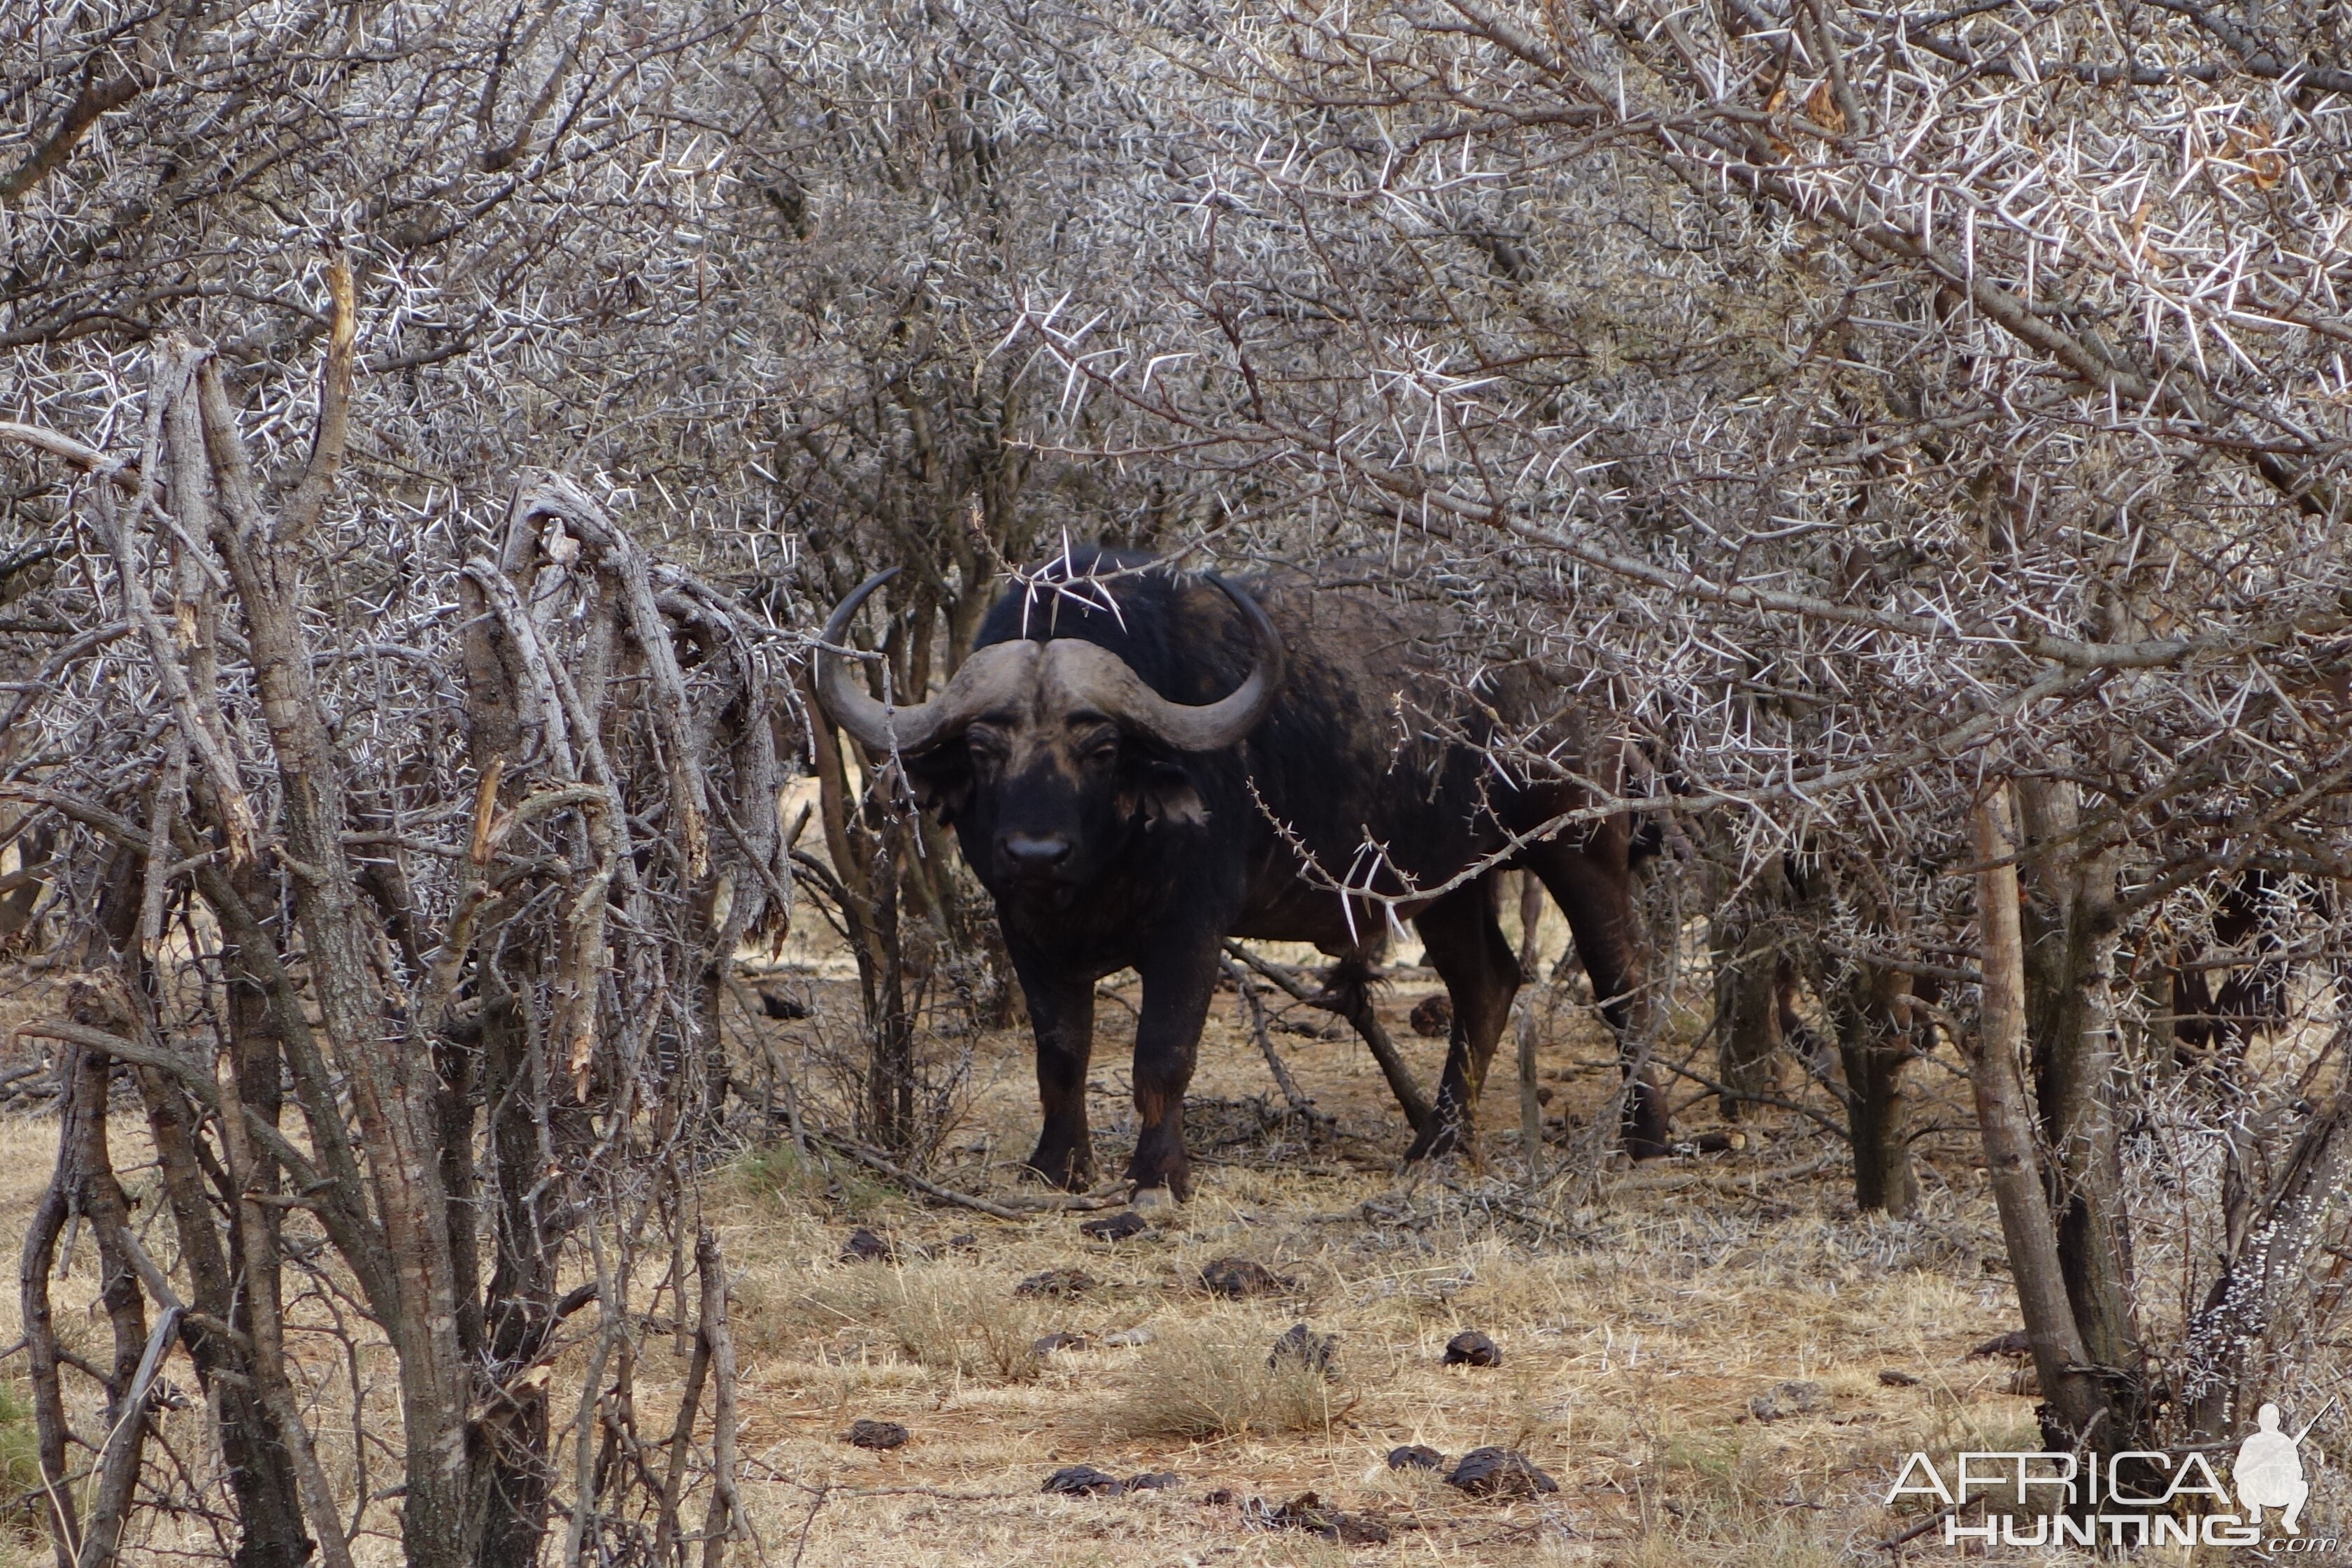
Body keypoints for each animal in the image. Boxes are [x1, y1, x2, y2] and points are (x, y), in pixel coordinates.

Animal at [818, 545, 1665, 1194]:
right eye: (982, 748)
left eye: (1101, 748)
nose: (1034, 852)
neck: (1100, 861)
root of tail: (1599, 666)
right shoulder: (1025, 929)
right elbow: (1059, 1055)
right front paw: (1056, 1168)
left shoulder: (1190, 929)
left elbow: (1162, 1055)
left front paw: (1157, 1177)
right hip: (1443, 882)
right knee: (1486, 983)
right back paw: (1436, 1144)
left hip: (1583, 842)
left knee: (1623, 980)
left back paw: (1645, 1136)